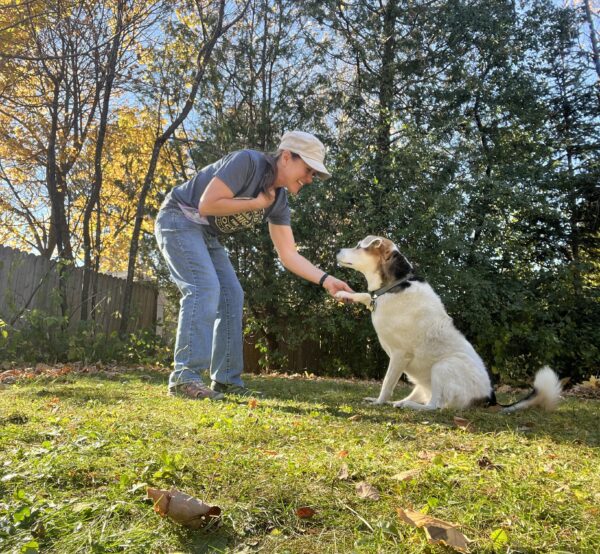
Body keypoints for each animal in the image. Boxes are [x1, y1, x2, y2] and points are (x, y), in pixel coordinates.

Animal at [338, 234, 564, 410]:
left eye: (358, 246)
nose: (339, 249)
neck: (396, 284)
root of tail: (490, 399)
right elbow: (365, 296)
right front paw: (342, 293)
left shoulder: (399, 355)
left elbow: (386, 384)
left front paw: (379, 402)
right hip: (425, 381)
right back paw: (402, 402)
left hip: (443, 366)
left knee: (435, 406)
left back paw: (409, 405)